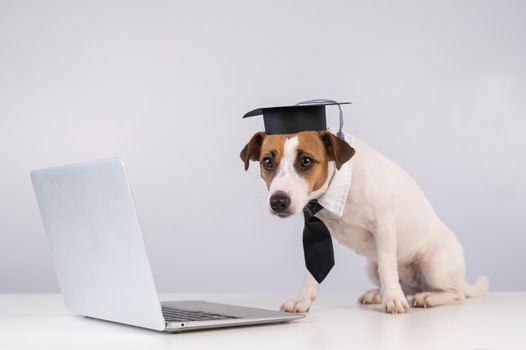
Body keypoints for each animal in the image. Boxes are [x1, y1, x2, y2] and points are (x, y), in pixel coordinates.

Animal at [241, 129, 488, 314]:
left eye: (306, 161)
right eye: (267, 161)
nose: (278, 201)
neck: (336, 182)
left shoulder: (384, 226)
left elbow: (388, 267)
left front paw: (394, 300)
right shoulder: (317, 231)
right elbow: (312, 273)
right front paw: (302, 300)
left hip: (435, 265)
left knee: (455, 294)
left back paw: (427, 296)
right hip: (370, 266)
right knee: (402, 284)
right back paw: (378, 294)